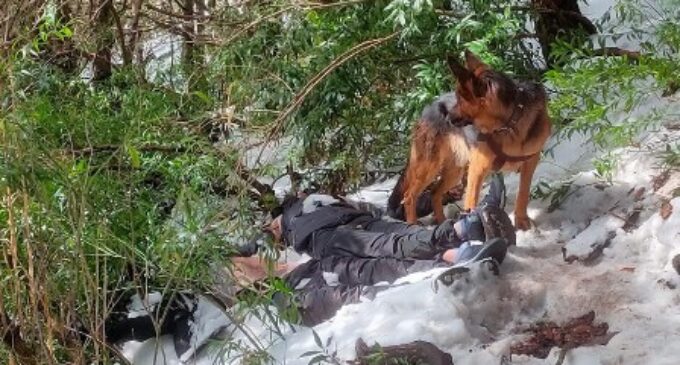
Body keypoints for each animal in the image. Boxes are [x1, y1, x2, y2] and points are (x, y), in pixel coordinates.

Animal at [402, 50, 548, 230]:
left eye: (460, 98)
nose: (446, 117)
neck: (508, 124)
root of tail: (427, 107)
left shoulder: (530, 162)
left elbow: (523, 193)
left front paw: (521, 221)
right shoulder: (477, 169)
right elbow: (471, 202)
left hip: (455, 171)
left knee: (435, 192)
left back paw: (442, 221)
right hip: (428, 168)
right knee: (409, 195)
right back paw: (412, 225)